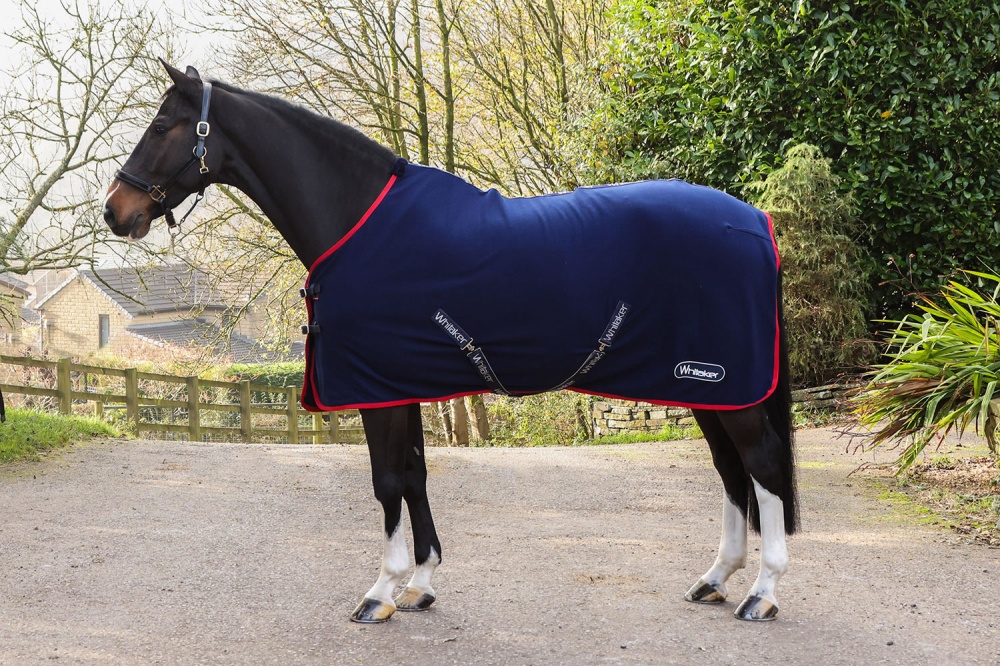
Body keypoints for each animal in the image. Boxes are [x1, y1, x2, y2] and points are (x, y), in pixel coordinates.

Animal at [103, 62, 798, 624]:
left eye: (162, 125)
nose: (115, 209)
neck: (357, 221)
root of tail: (757, 222)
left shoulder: (377, 390)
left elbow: (388, 481)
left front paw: (380, 593)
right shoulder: (399, 382)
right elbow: (414, 475)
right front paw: (421, 584)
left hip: (724, 384)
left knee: (761, 467)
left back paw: (762, 594)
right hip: (706, 387)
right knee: (732, 472)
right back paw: (715, 579)